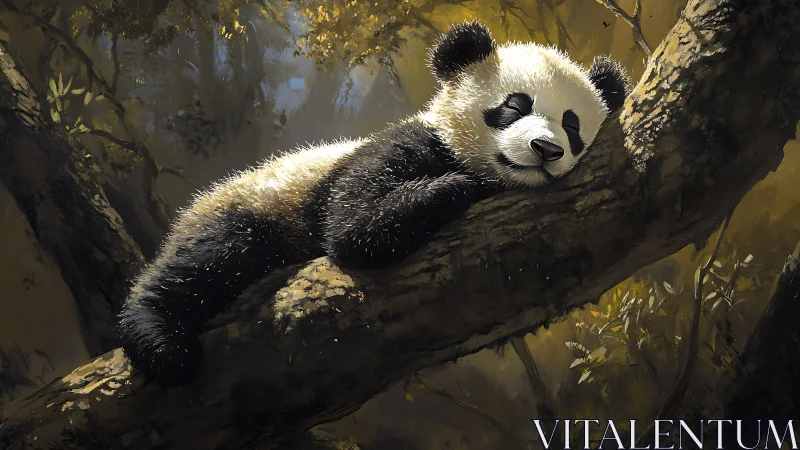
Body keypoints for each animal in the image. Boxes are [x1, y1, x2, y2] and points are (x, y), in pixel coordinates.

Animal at [118, 20, 630, 388]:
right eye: (514, 106)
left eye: (572, 126)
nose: (547, 149)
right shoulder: (386, 151)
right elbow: (354, 228)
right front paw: (455, 186)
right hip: (253, 206)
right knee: (205, 262)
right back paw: (162, 343)